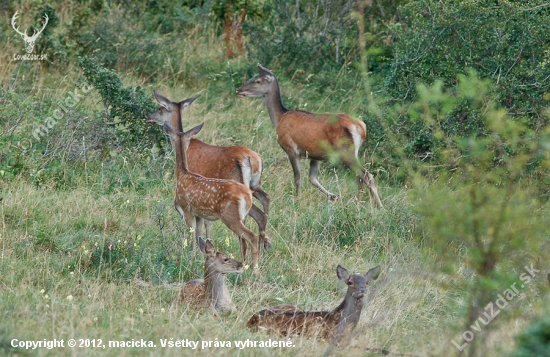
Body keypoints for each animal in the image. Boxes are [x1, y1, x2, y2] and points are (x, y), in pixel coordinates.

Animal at [148, 90, 270, 249]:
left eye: (160, 108)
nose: (148, 117)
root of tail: (252, 159)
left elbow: (203, 224)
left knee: (254, 218)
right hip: (256, 184)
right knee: (266, 202)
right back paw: (266, 245)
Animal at [162, 121, 264, 266]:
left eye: (170, 138)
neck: (183, 174)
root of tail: (247, 195)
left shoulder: (186, 209)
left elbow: (192, 233)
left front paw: (191, 257)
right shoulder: (198, 214)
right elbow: (199, 233)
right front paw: (199, 257)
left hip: (230, 216)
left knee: (252, 237)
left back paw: (253, 267)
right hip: (241, 215)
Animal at [236, 65, 384, 207]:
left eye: (257, 81)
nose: (238, 89)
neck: (279, 118)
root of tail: (361, 127)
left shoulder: (291, 149)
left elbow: (298, 178)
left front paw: (298, 199)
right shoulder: (315, 155)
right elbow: (312, 179)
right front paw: (334, 196)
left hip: (345, 150)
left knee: (366, 175)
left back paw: (378, 206)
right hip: (353, 152)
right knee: (359, 177)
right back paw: (358, 203)